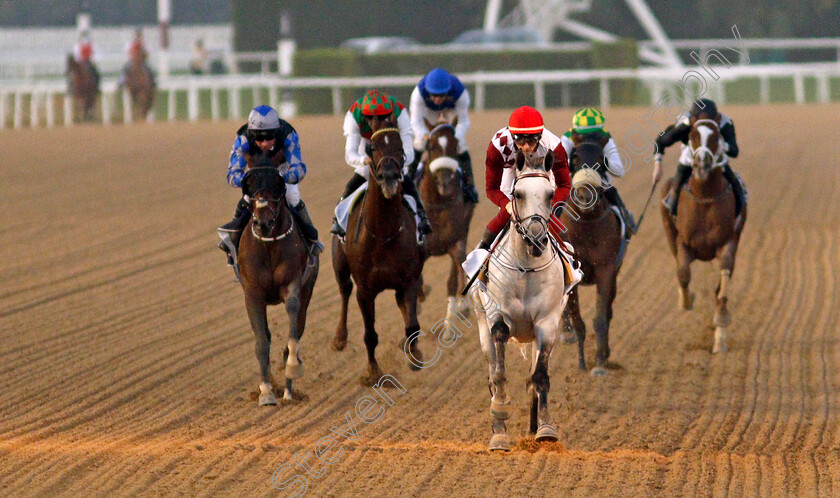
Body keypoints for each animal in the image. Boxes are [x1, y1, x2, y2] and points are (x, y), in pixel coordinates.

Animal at [238, 161, 320, 406]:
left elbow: (292, 315)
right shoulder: (253, 293)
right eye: (250, 185)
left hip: (308, 290)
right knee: (265, 334)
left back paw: (288, 392)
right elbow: (261, 343)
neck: (269, 245)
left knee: (297, 327)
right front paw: (266, 391)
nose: (263, 222)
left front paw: (293, 367)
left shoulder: (292, 282)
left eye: (277, 184)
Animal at [332, 126, 426, 384]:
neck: (383, 232)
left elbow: (412, 325)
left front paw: (414, 355)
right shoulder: (365, 290)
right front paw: (372, 372)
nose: (390, 177)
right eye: (371, 148)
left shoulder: (409, 280)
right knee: (344, 290)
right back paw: (339, 338)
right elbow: (370, 334)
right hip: (340, 265)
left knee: (402, 306)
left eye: (401, 147)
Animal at [418, 122, 472, 320]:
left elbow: (456, 272)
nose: (445, 183)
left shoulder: (456, 240)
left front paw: (462, 307)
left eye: (454, 145)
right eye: (431, 146)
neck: (437, 206)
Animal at [556, 142, 624, 376]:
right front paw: (581, 363)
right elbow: (578, 321)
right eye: (574, 159)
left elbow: (601, 317)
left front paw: (600, 362)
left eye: (601, 162)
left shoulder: (606, 269)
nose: (585, 197)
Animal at [660, 114, 744, 352]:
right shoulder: (683, 242)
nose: (702, 163)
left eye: (716, 137)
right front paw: (687, 300)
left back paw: (719, 340)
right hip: (669, 232)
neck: (705, 196)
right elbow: (683, 274)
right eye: (692, 135)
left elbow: (723, 282)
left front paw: (721, 320)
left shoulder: (727, 243)